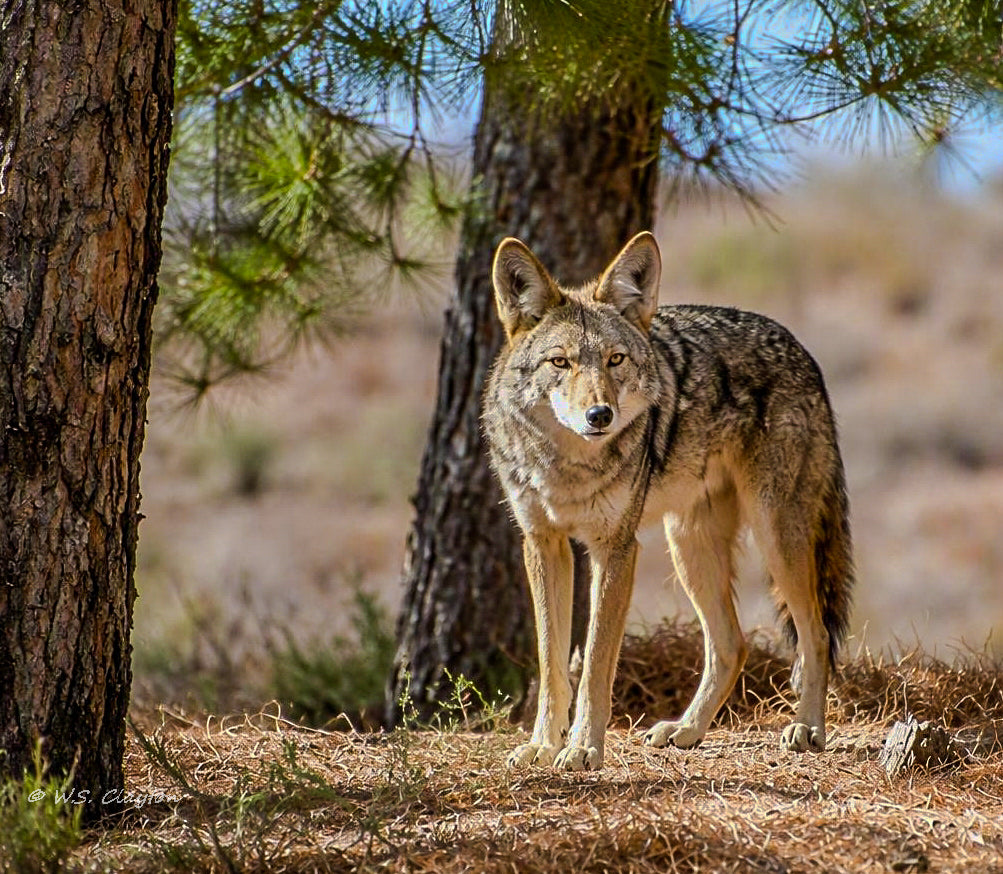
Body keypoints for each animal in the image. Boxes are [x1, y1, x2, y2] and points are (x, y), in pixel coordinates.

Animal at [483, 231, 853, 771]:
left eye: (616, 359)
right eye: (561, 362)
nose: (600, 415)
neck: (567, 466)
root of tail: (803, 351)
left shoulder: (616, 548)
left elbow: (595, 664)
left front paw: (583, 748)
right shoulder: (544, 543)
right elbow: (552, 663)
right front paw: (543, 746)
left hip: (776, 536)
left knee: (816, 635)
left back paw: (807, 729)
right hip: (690, 547)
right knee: (732, 644)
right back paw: (687, 730)